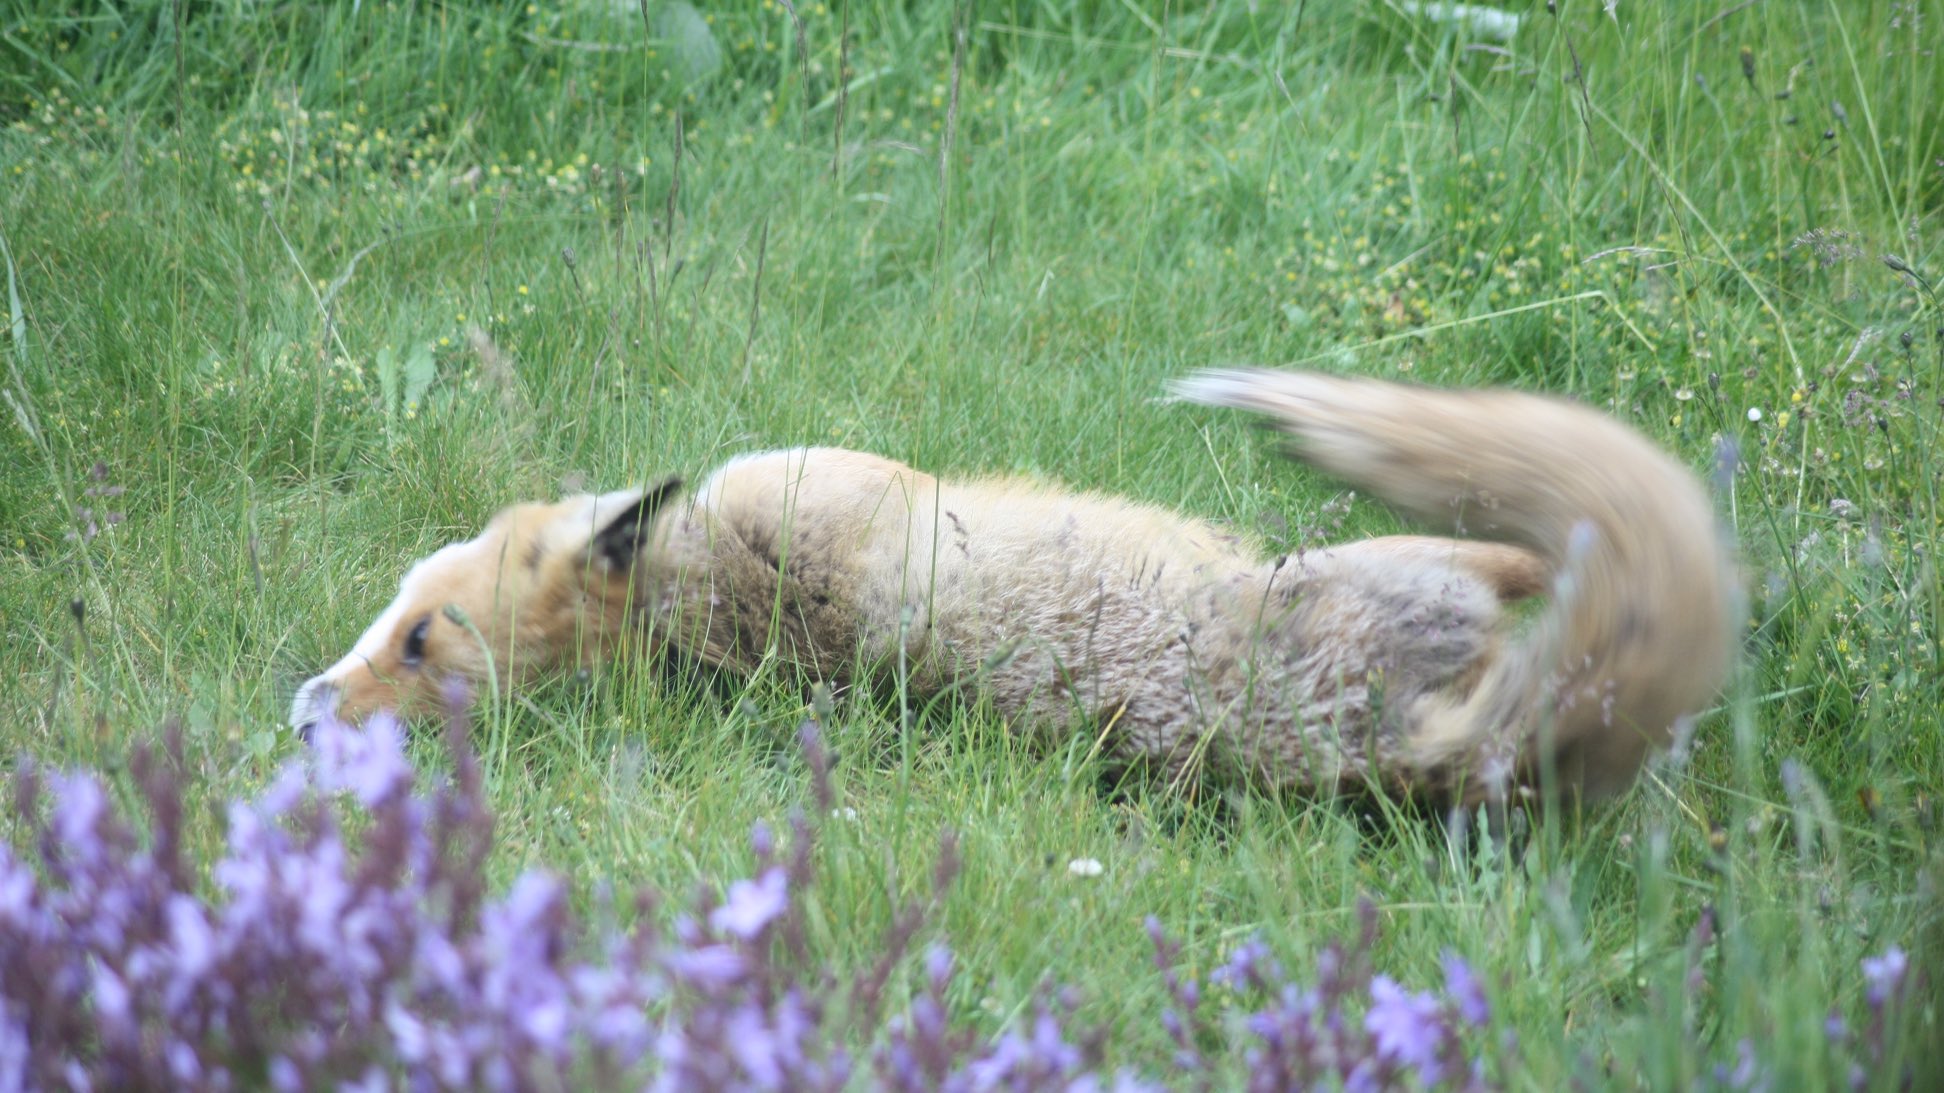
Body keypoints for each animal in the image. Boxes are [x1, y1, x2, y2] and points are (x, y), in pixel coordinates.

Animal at [295, 369, 1741, 805]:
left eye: (416, 641)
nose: (309, 719)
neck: (710, 595)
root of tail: (1434, 752)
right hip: (1374, 572)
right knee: (1542, 556)